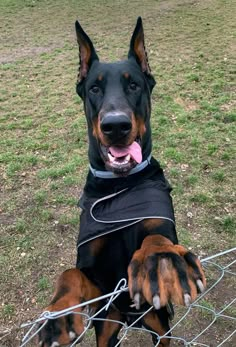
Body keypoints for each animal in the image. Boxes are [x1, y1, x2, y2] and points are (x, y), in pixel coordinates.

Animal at [37, 18, 206, 347]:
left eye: (134, 85)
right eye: (94, 87)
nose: (116, 125)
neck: (117, 186)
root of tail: (131, 318)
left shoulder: (159, 226)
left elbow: (156, 239)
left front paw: (161, 262)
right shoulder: (101, 285)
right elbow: (70, 273)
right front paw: (58, 313)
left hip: (159, 325)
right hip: (108, 324)